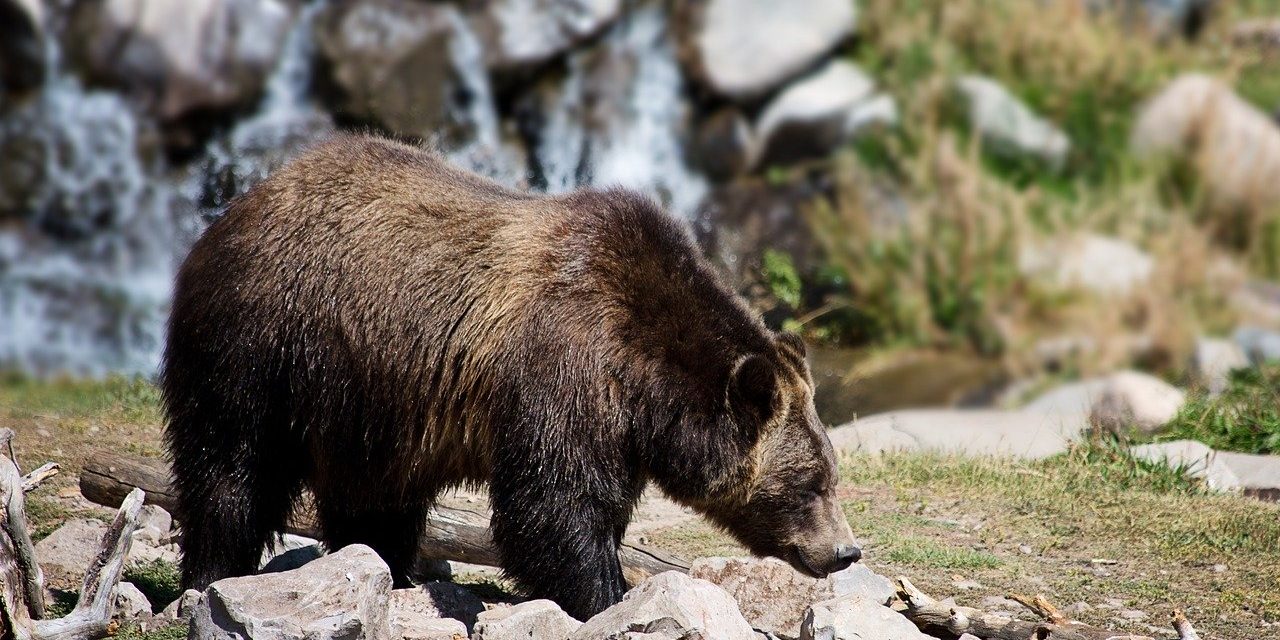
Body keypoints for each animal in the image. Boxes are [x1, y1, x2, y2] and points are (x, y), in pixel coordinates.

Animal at [161, 134, 859, 620]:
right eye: (811, 483)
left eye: (830, 473)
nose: (845, 551)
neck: (645, 380)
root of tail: (237, 207)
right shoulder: (565, 366)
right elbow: (553, 504)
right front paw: (605, 595)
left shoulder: (617, 426)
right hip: (263, 344)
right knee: (232, 465)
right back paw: (211, 573)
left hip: (366, 400)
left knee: (373, 496)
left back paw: (388, 567)